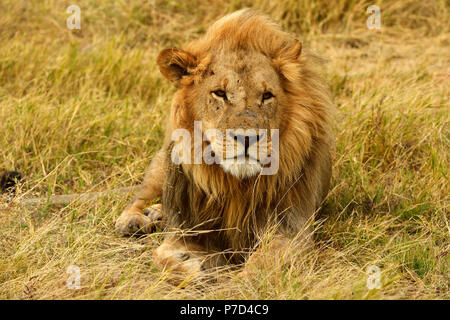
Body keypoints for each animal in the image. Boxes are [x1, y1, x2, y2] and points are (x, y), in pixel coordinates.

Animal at [116, 9, 334, 276]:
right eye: (220, 93)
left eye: (266, 96)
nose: (246, 137)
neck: (236, 186)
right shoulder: (189, 228)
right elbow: (161, 255)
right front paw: (193, 265)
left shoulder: (292, 230)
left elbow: (263, 265)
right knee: (141, 195)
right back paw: (135, 219)